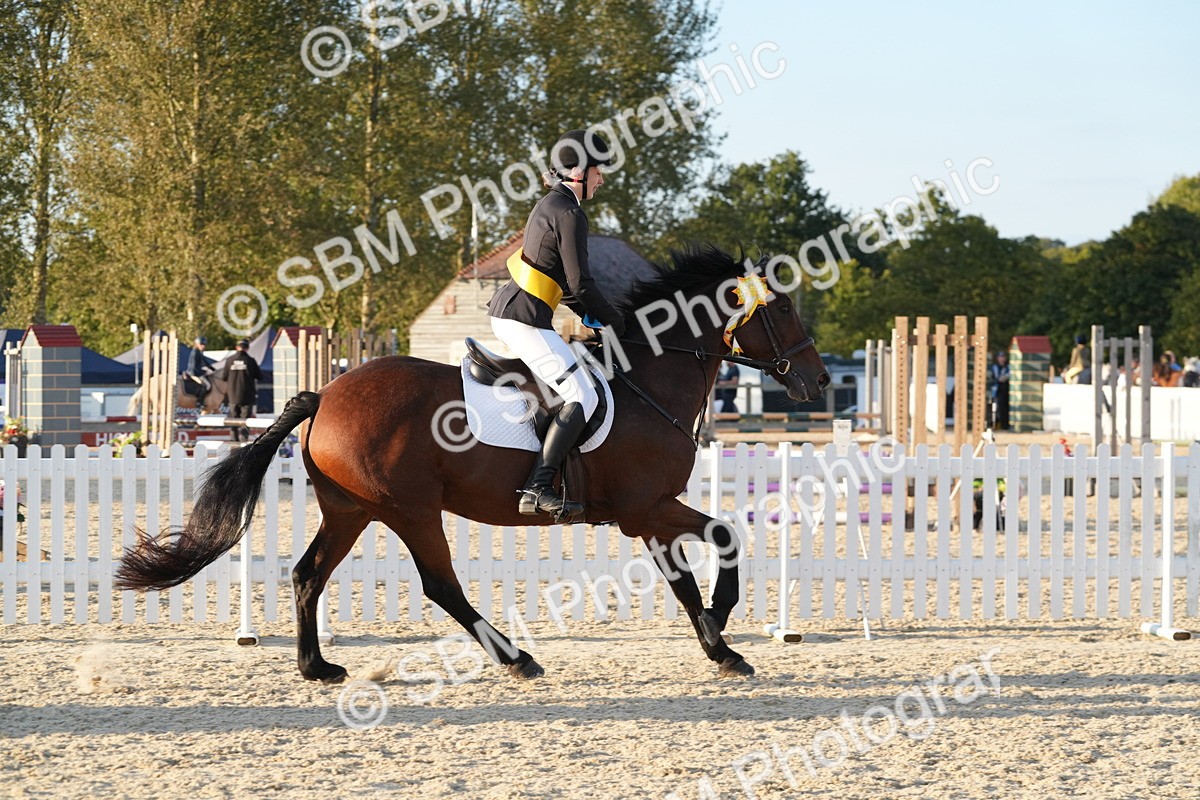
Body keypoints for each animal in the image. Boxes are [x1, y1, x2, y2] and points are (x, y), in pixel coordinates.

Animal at [115, 247, 830, 683]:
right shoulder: (645, 509)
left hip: (352, 509)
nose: (819, 381)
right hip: (410, 510)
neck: (647, 380)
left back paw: (316, 667)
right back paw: (518, 659)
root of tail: (326, 394)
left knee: (308, 574)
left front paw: (719, 633)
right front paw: (722, 635)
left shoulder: (648, 513)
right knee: (441, 586)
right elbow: (710, 551)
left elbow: (706, 554)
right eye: (784, 308)